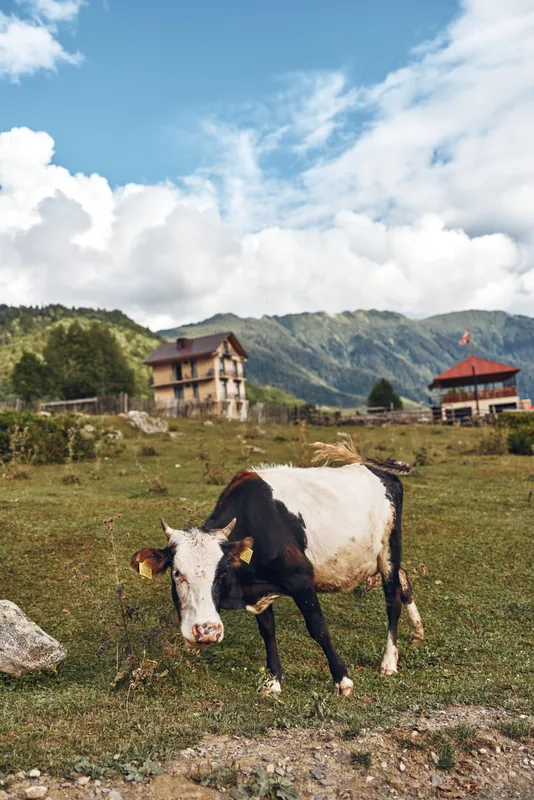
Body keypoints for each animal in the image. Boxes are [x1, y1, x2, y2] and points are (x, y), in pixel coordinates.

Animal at [130, 438, 424, 695]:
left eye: (221, 572)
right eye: (177, 573)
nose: (206, 631)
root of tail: (379, 470)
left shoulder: (301, 579)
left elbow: (318, 627)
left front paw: (342, 679)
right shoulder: (258, 589)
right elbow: (267, 631)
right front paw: (273, 680)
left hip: (389, 551)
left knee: (392, 600)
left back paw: (389, 661)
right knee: (405, 580)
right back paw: (418, 632)